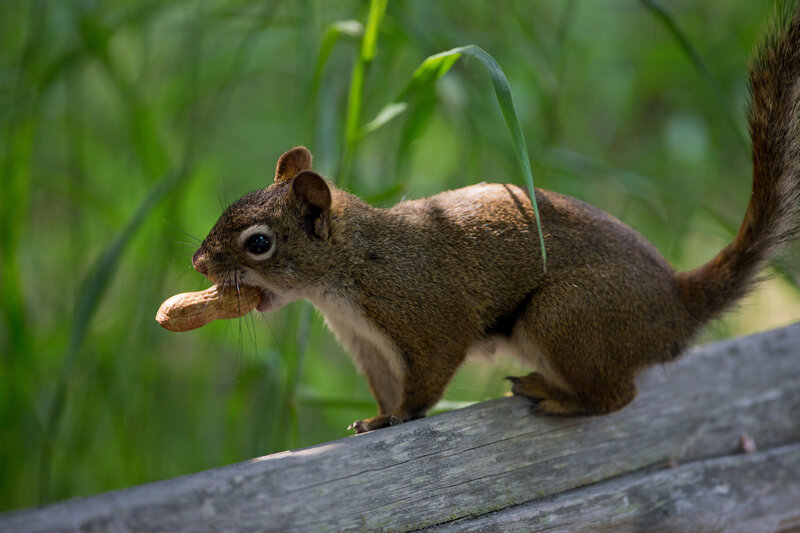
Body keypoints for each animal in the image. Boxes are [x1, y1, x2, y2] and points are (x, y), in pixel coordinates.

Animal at [191, 8, 800, 433]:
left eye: (259, 243)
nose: (198, 263)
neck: (348, 270)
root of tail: (676, 304)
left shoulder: (427, 315)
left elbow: (428, 377)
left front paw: (403, 417)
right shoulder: (366, 345)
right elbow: (385, 389)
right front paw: (377, 418)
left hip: (566, 315)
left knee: (616, 396)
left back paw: (555, 397)